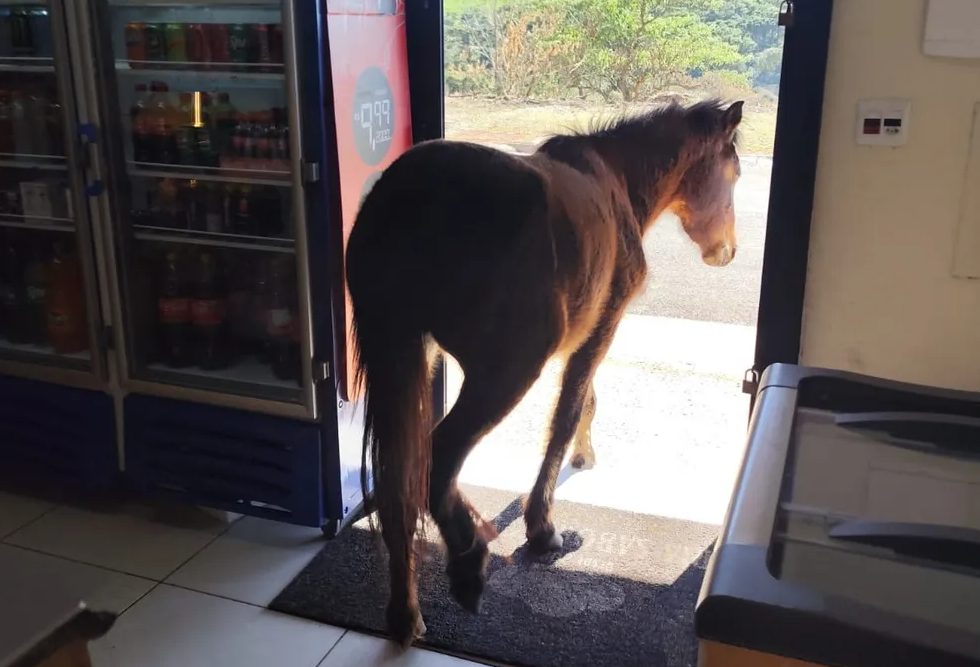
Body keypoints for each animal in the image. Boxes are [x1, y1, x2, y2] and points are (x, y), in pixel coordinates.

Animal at [346, 99, 744, 646]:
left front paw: (584, 454)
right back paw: (469, 561)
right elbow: (568, 411)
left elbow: (586, 402)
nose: (727, 251)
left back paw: (405, 613)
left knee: (400, 481)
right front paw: (542, 526)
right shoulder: (602, 327)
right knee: (439, 459)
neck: (617, 180)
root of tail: (407, 196)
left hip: (406, 357)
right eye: (734, 171)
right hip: (505, 373)